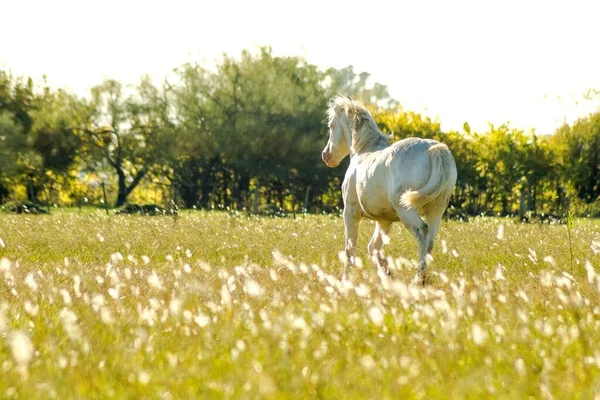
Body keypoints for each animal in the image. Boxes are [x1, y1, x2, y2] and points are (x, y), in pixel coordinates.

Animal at [322, 95, 458, 280]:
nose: (326, 156)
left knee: (422, 232)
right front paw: (387, 273)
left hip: (406, 210)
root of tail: (434, 149)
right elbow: (373, 247)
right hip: (436, 208)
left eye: (331, 125)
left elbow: (350, 249)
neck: (363, 151)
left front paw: (346, 279)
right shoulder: (384, 220)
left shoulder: (350, 212)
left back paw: (418, 279)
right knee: (430, 241)